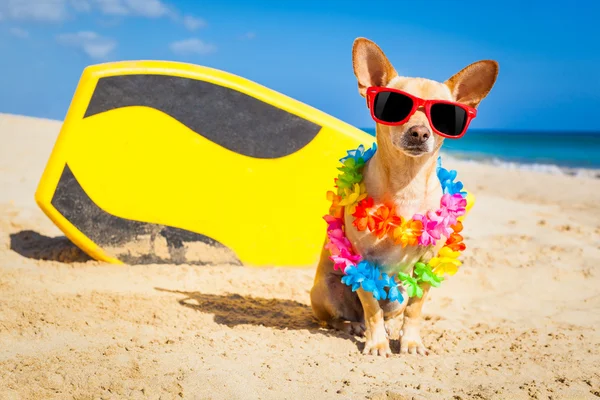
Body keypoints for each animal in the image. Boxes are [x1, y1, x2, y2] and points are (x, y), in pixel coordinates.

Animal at [310, 36, 496, 356]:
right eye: (395, 105)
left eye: (444, 115)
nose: (419, 132)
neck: (407, 182)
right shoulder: (362, 263)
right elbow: (371, 306)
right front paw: (377, 343)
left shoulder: (428, 265)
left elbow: (415, 309)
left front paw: (410, 341)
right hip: (327, 290)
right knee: (341, 318)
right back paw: (353, 326)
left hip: (397, 293)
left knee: (391, 312)